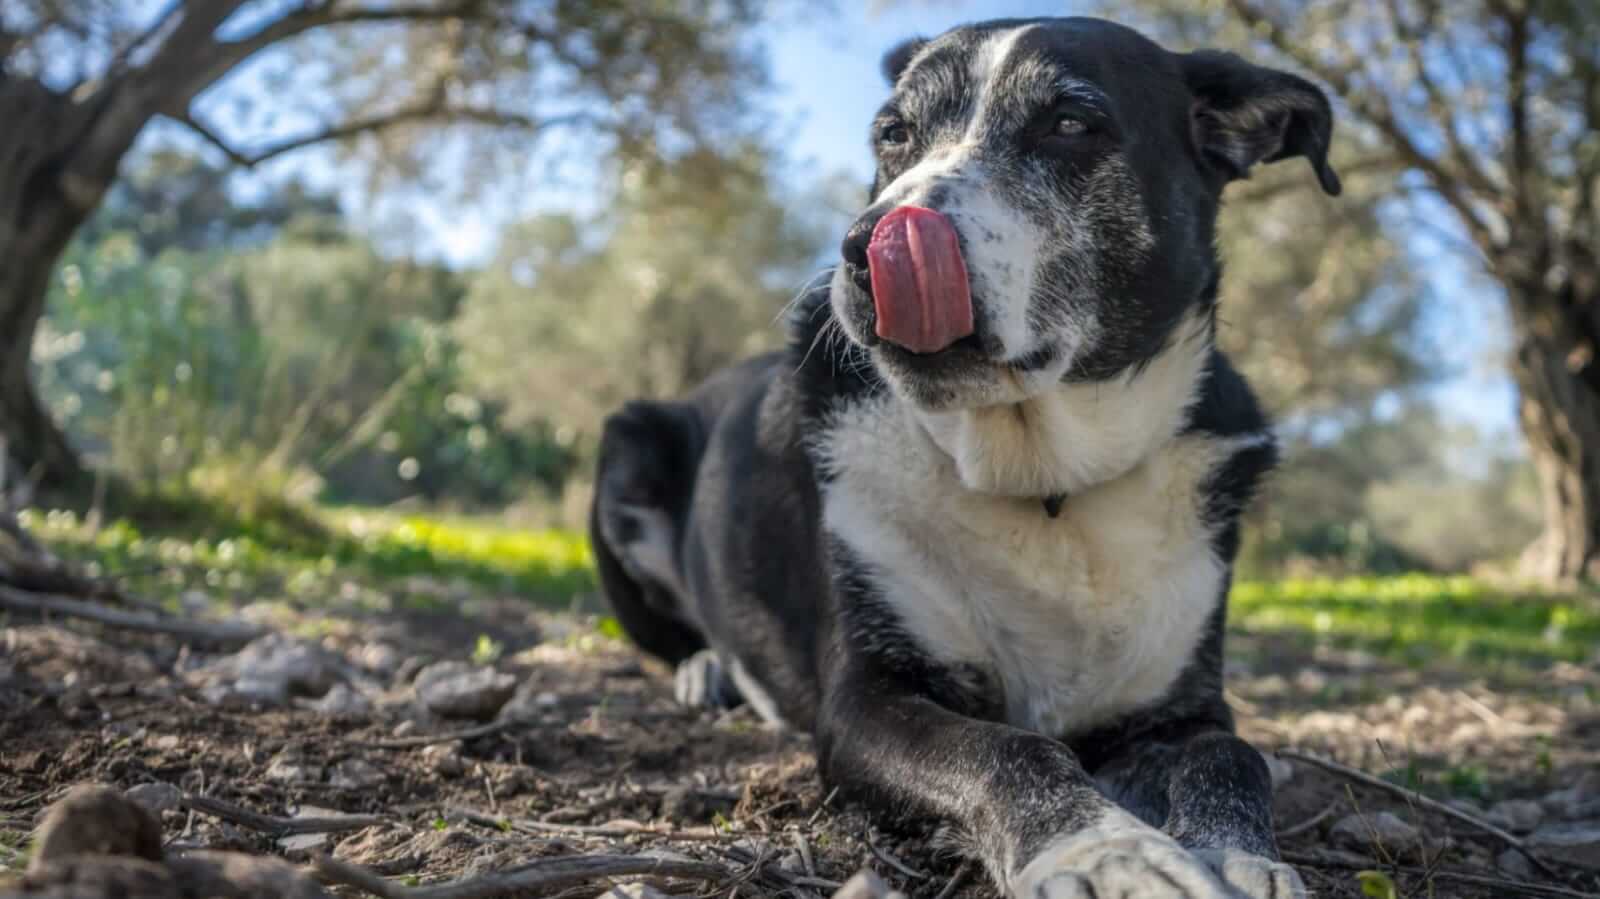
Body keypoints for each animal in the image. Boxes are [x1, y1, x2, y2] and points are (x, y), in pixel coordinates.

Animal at [588, 15, 1337, 895]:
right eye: (893, 134)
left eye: (1070, 123)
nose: (861, 249)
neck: (1042, 480)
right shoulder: (867, 700)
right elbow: (1009, 750)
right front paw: (1104, 850)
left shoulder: (1181, 706)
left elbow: (1232, 755)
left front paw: (1245, 857)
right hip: (626, 449)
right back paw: (705, 669)